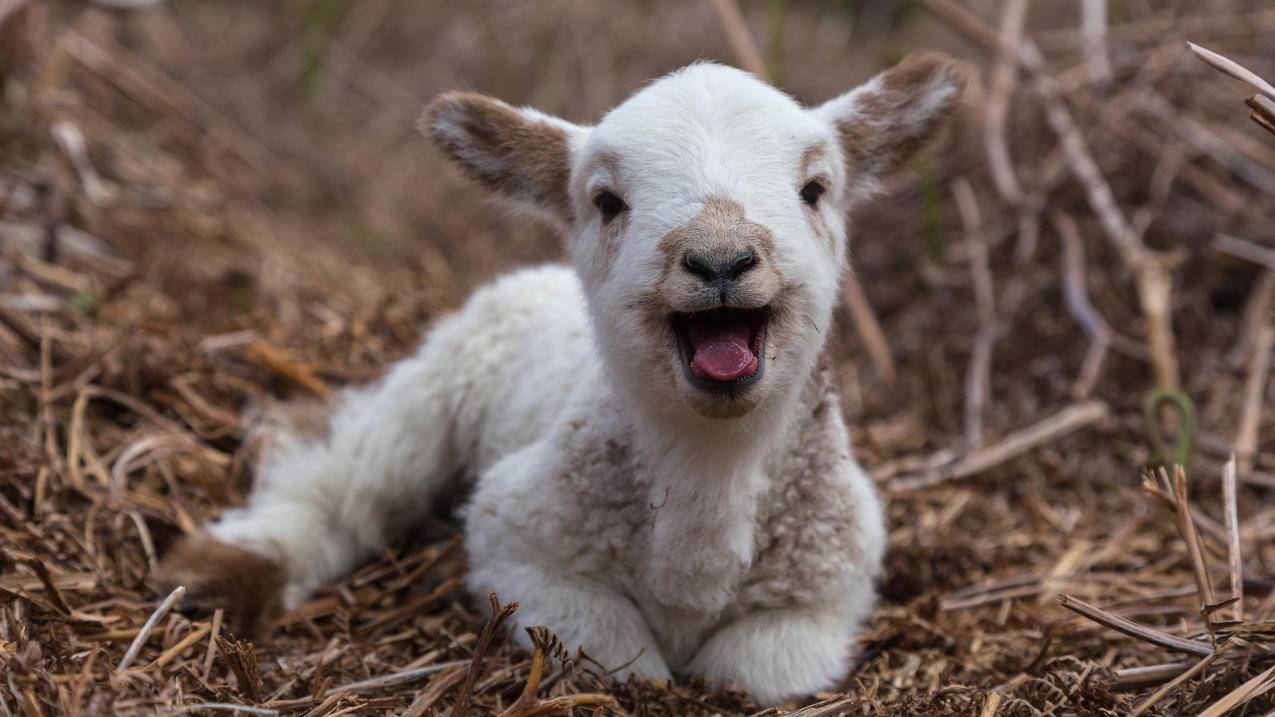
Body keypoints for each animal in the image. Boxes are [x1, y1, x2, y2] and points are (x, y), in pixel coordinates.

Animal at [154, 52, 958, 699]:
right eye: (606, 201)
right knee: (348, 474)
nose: (720, 260)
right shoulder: (519, 541)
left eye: (815, 189)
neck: (709, 465)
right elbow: (621, 655)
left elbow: (755, 671)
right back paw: (224, 570)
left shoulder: (831, 585)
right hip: (443, 379)